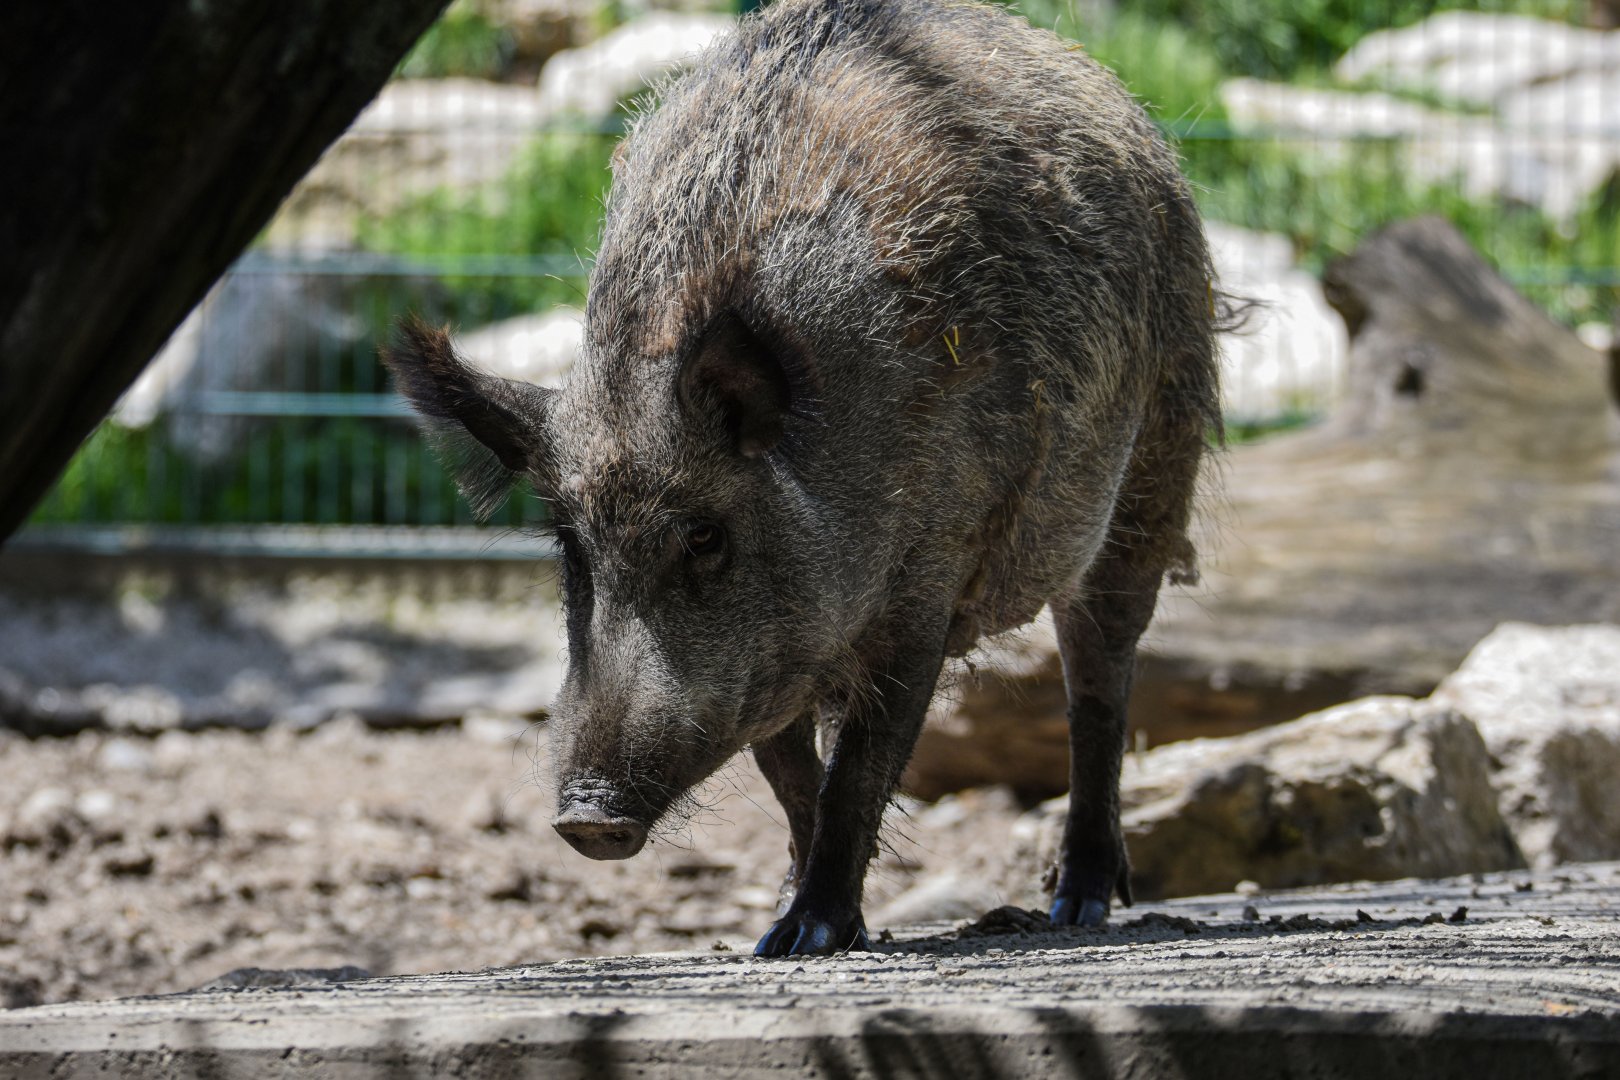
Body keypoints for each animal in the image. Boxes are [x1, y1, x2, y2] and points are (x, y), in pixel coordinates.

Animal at [384, 0, 1221, 957]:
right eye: (571, 547)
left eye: (704, 534)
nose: (587, 819)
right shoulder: (771, 661)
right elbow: (790, 774)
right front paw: (783, 930)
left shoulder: (925, 583)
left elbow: (861, 766)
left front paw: (811, 935)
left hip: (1157, 461)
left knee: (1100, 685)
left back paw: (1075, 906)